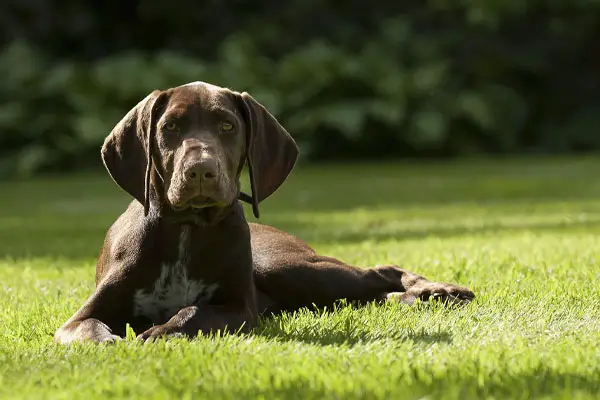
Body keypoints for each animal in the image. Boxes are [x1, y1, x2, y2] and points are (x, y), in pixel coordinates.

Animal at [52, 82, 474, 344]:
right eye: (170, 127)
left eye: (227, 126)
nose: (200, 171)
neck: (187, 228)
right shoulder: (79, 318)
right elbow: (88, 329)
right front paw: (109, 341)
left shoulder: (239, 308)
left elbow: (193, 311)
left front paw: (160, 331)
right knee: (368, 293)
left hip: (284, 267)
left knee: (379, 272)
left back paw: (439, 290)